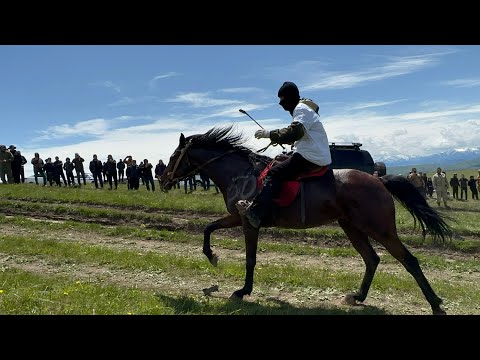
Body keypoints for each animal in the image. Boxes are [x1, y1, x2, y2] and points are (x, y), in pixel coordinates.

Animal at [161, 125, 454, 314]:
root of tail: (378, 180)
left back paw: (435, 303)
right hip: (352, 227)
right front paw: (212, 257)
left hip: (379, 228)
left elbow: (250, 258)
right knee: (372, 259)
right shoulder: (236, 217)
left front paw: (242, 290)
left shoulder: (248, 222)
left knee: (408, 260)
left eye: (174, 156)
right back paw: (358, 296)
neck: (240, 174)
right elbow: (208, 227)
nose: (163, 180)